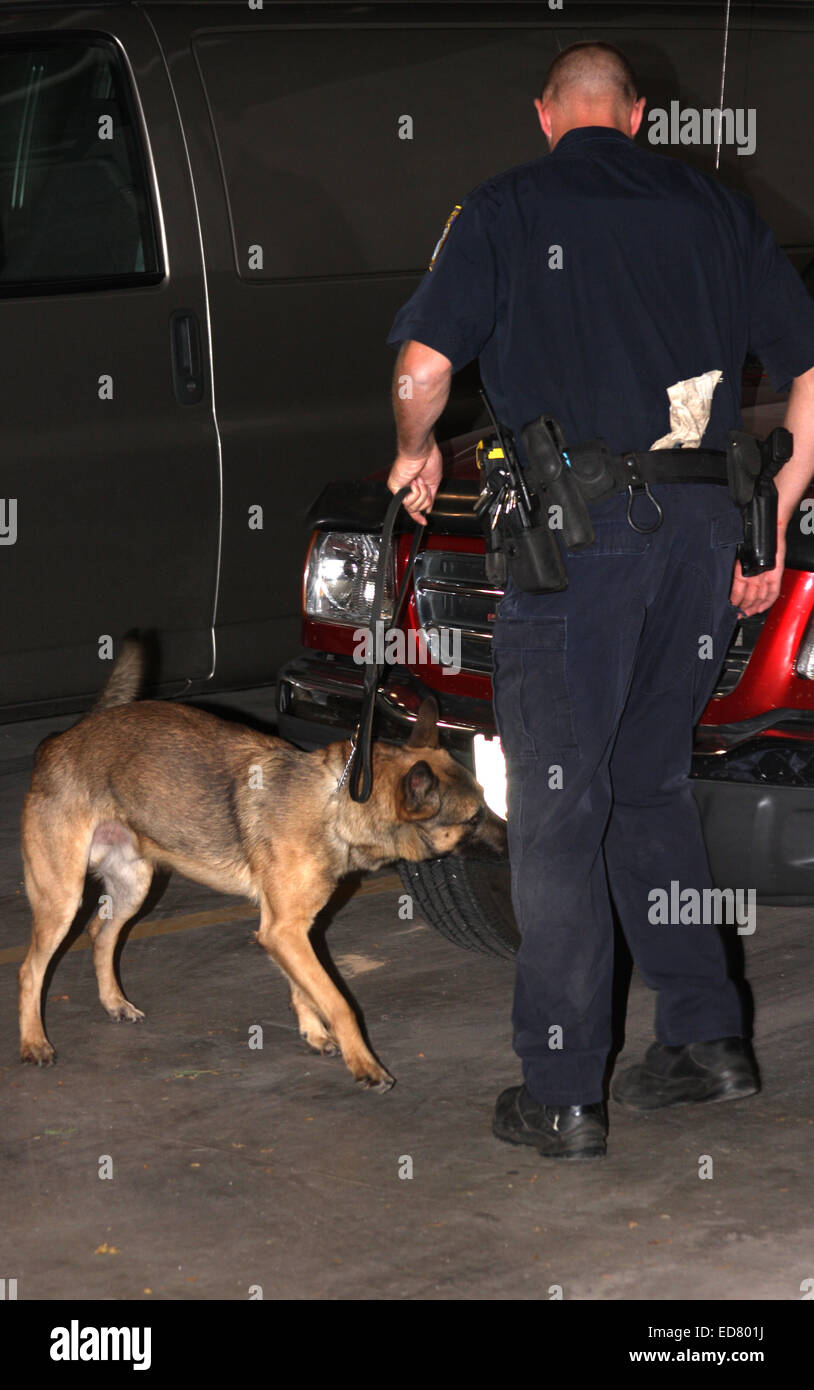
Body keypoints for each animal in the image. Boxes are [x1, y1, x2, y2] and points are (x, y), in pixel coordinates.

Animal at [15, 636, 502, 1084]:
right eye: (475, 817)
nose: (510, 840)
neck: (336, 804)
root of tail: (62, 739)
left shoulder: (291, 930)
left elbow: (305, 989)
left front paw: (315, 1033)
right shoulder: (284, 930)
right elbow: (338, 1001)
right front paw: (363, 1062)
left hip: (134, 887)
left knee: (100, 934)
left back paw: (114, 1003)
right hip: (62, 900)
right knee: (30, 970)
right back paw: (34, 1042)